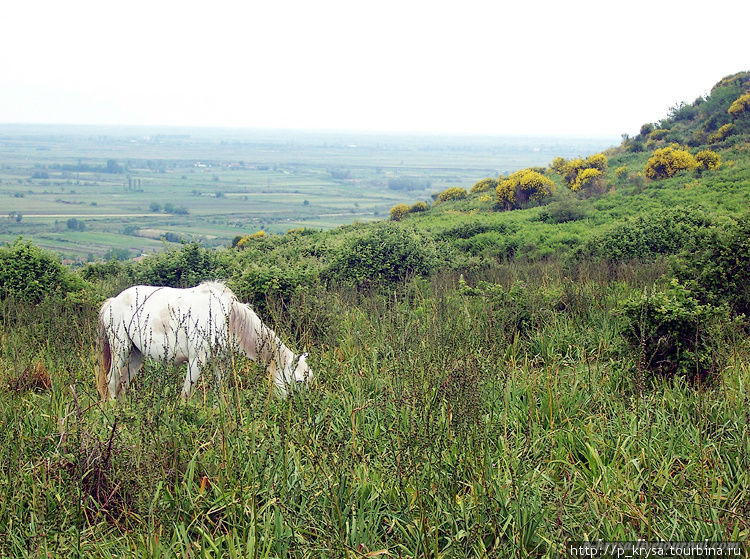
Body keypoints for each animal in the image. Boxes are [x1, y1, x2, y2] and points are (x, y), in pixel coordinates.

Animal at [97, 282, 314, 400]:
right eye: (299, 381)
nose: (300, 409)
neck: (226, 318)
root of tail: (113, 302)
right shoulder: (196, 360)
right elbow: (186, 393)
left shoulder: (221, 361)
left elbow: (220, 390)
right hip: (121, 349)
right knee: (112, 381)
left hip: (136, 355)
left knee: (123, 382)